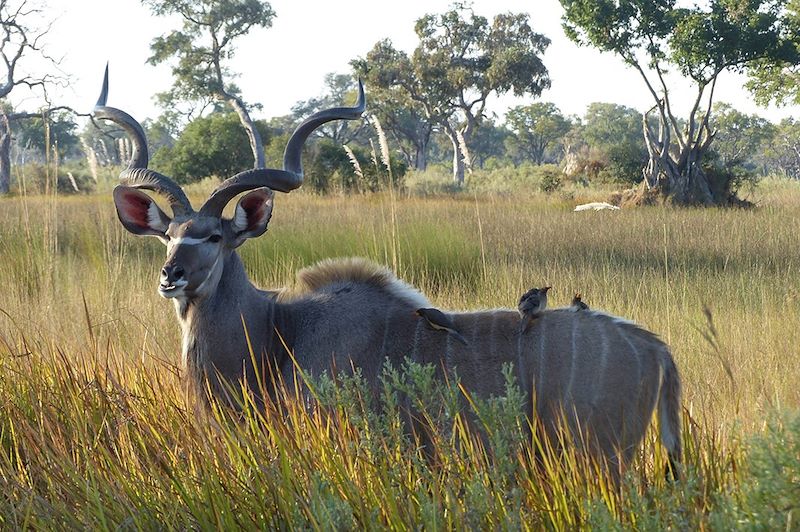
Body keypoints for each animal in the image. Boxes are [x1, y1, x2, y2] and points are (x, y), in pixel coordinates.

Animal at [95, 68, 680, 480]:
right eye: (169, 235)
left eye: (215, 237)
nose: (171, 275)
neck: (277, 334)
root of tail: (658, 351)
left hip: (602, 457)